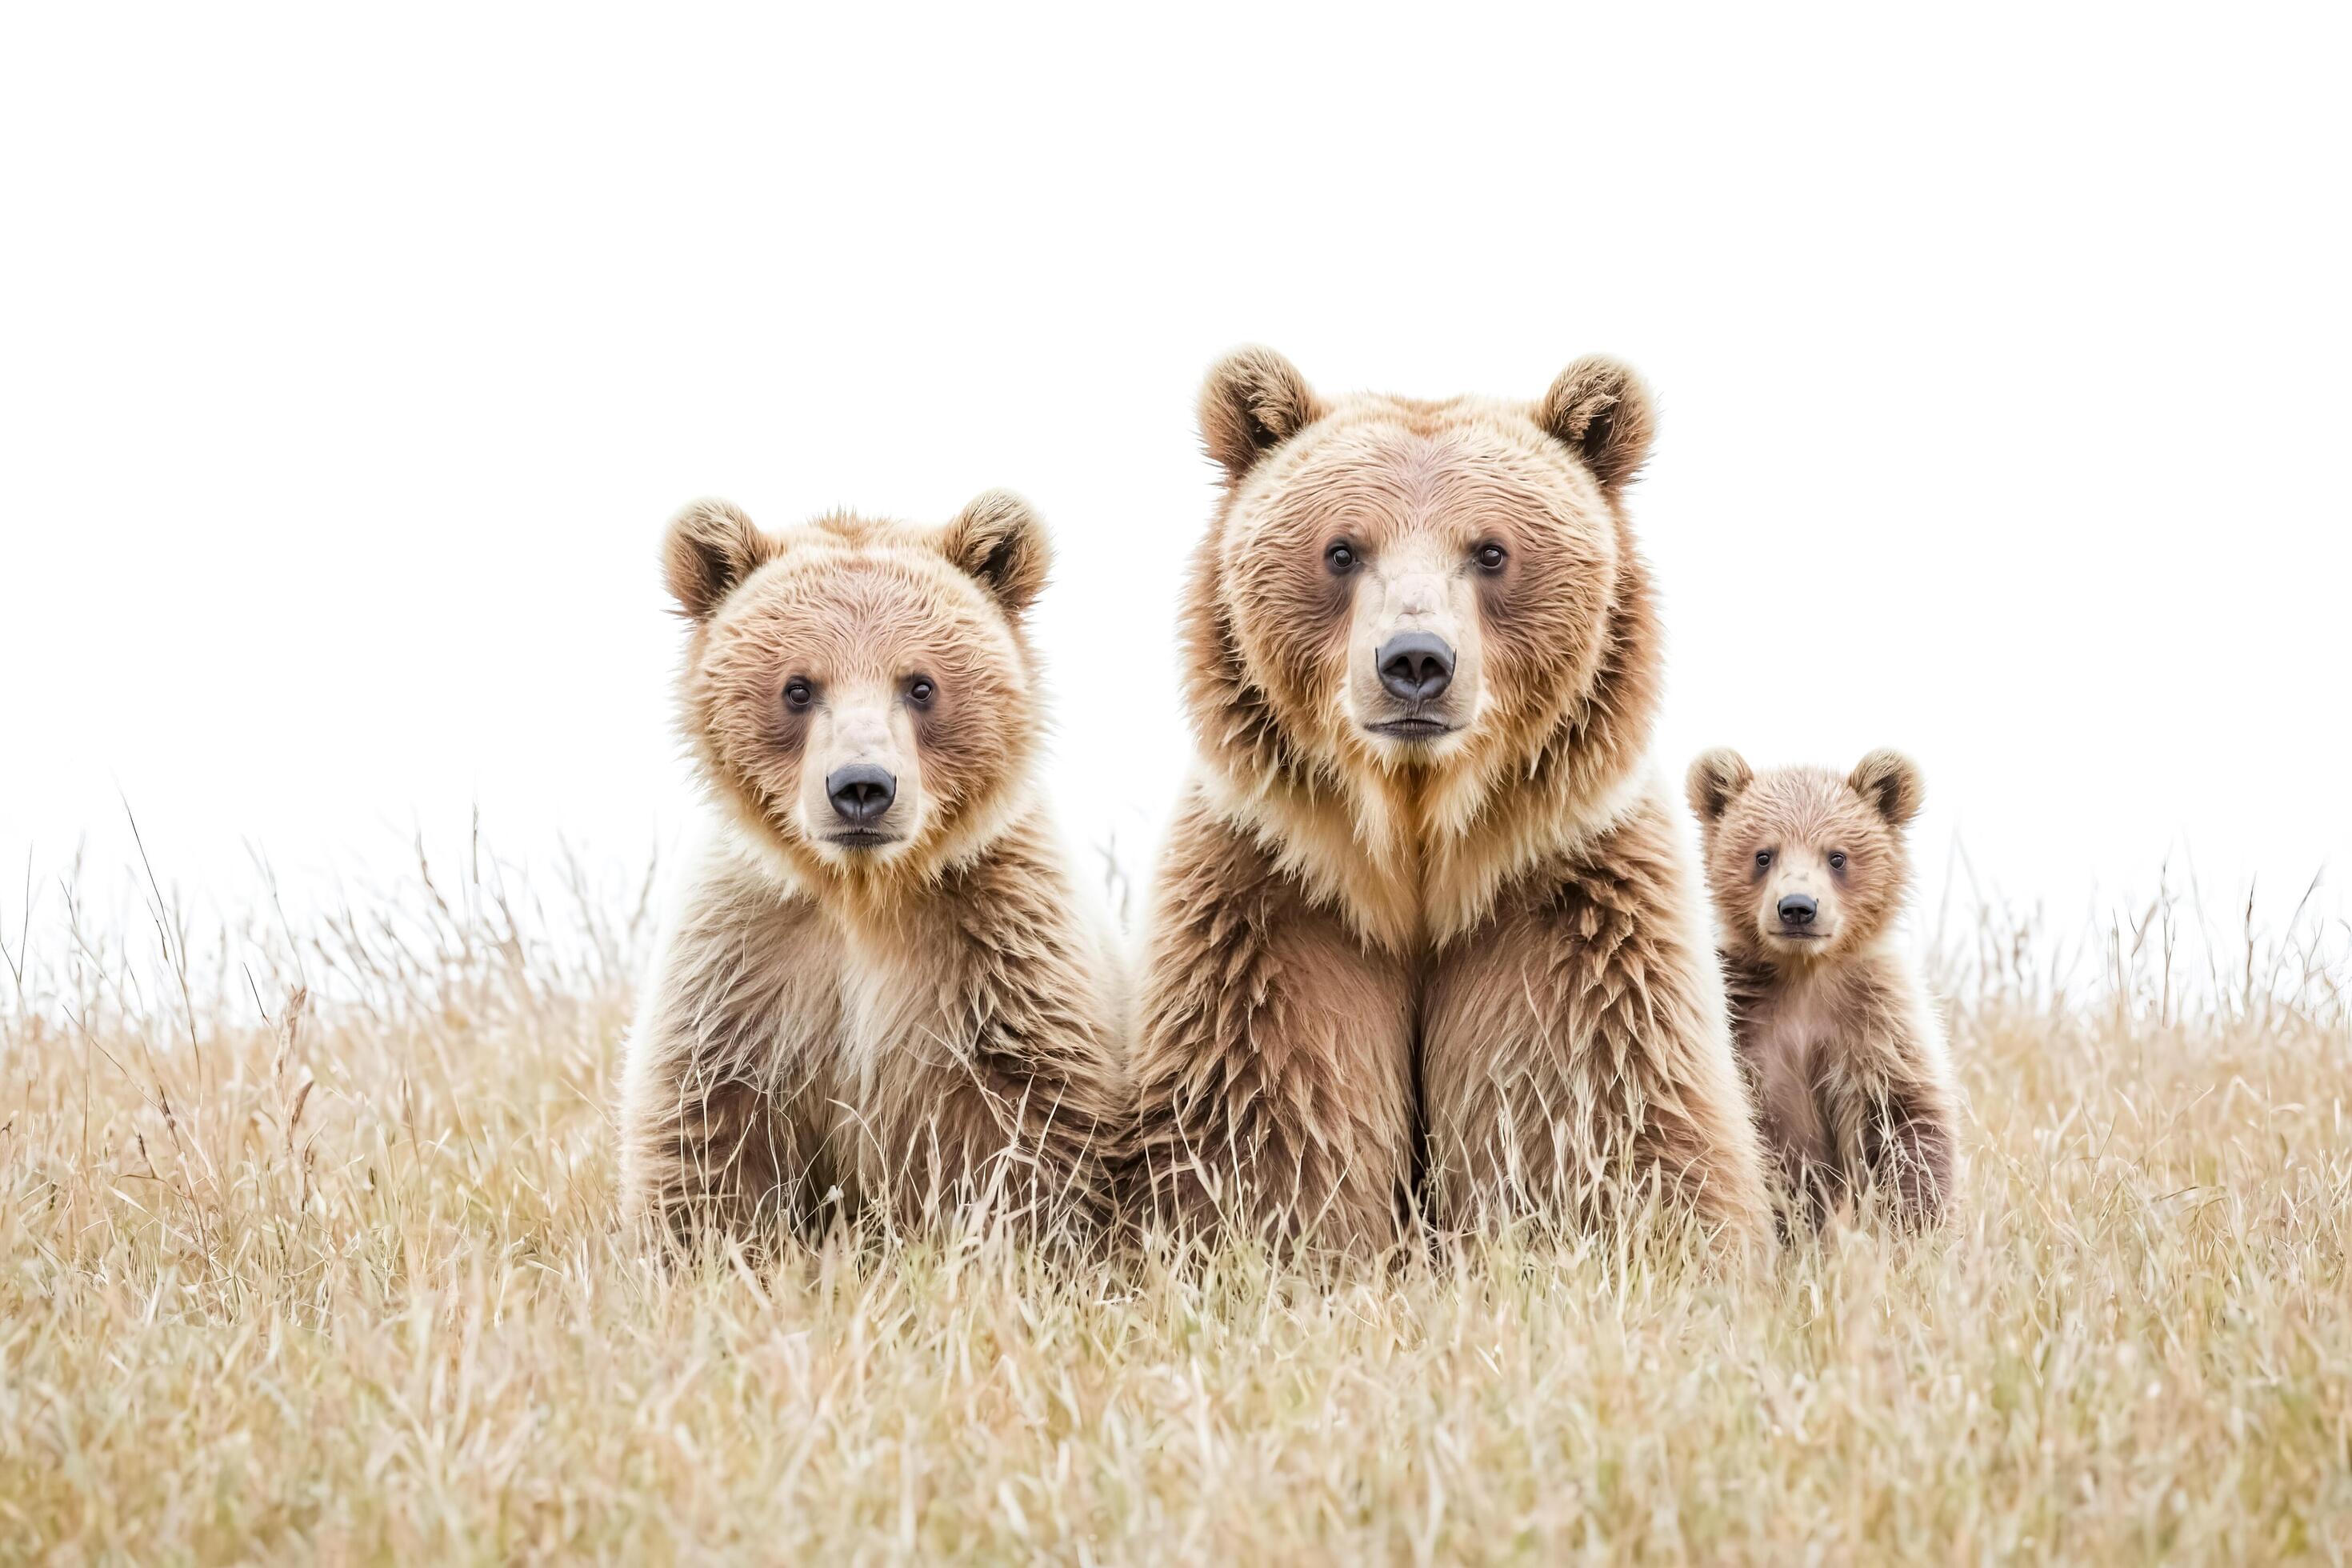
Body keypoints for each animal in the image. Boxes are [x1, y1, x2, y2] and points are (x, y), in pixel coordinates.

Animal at [616, 491, 1129, 1250]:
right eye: (798, 687)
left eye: (920, 685)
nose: (861, 786)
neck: (863, 890)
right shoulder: (746, 956)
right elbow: (709, 1125)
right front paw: (705, 1247)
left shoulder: (1002, 951)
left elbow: (1024, 1127)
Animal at [1129, 345, 1768, 1250]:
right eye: (1342, 549)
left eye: (1491, 551)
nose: (1415, 661)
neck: (1416, 845)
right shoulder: (1272, 900)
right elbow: (1259, 1124)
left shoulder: (1567, 909)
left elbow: (1601, 1113)